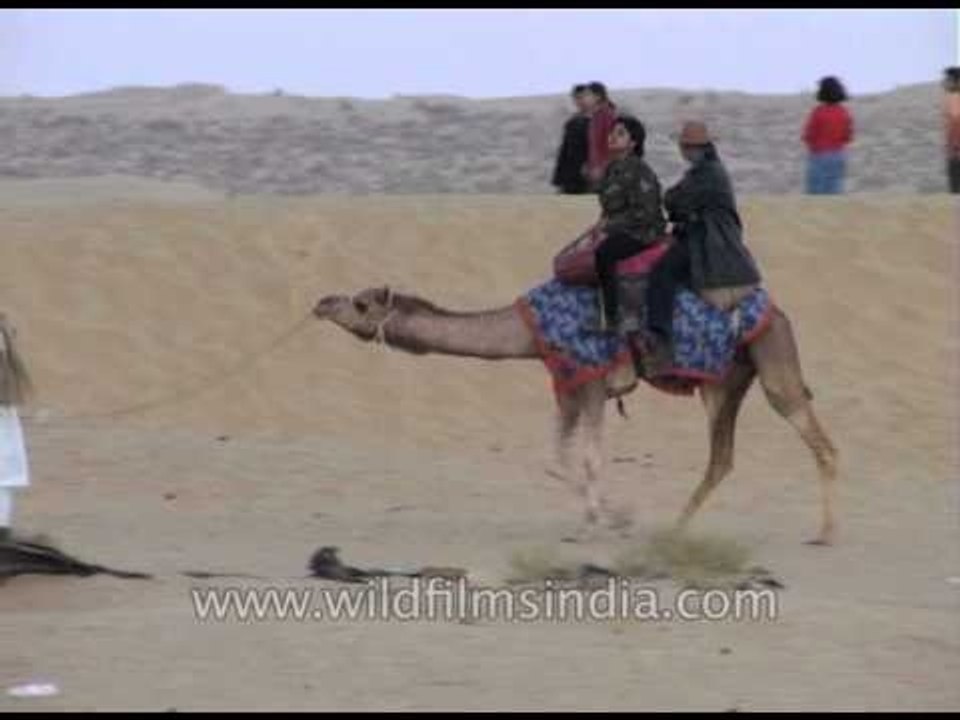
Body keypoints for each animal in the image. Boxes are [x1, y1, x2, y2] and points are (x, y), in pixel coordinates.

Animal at [312, 285, 839, 545]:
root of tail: (781, 314)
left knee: (817, 439)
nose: (320, 303)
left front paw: (599, 522)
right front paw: (610, 517)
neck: (529, 331)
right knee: (722, 457)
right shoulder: (565, 387)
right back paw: (675, 528)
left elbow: (589, 458)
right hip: (726, 382)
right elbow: (557, 457)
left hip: (771, 365)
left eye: (360, 303)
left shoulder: (591, 384)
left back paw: (825, 534)